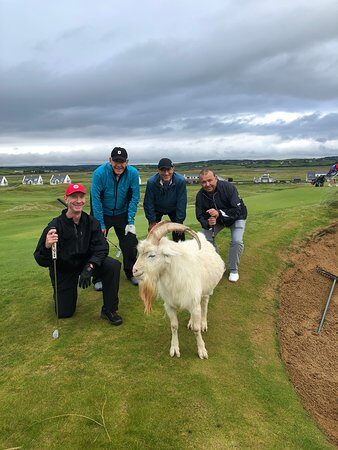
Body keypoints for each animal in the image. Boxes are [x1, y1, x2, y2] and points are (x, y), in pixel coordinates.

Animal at [132, 221, 224, 358]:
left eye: (152, 255)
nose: (134, 270)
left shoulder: (194, 304)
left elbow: (196, 329)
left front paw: (202, 350)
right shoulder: (170, 305)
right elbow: (174, 326)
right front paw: (174, 348)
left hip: (206, 291)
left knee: (204, 304)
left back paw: (203, 323)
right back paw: (191, 321)